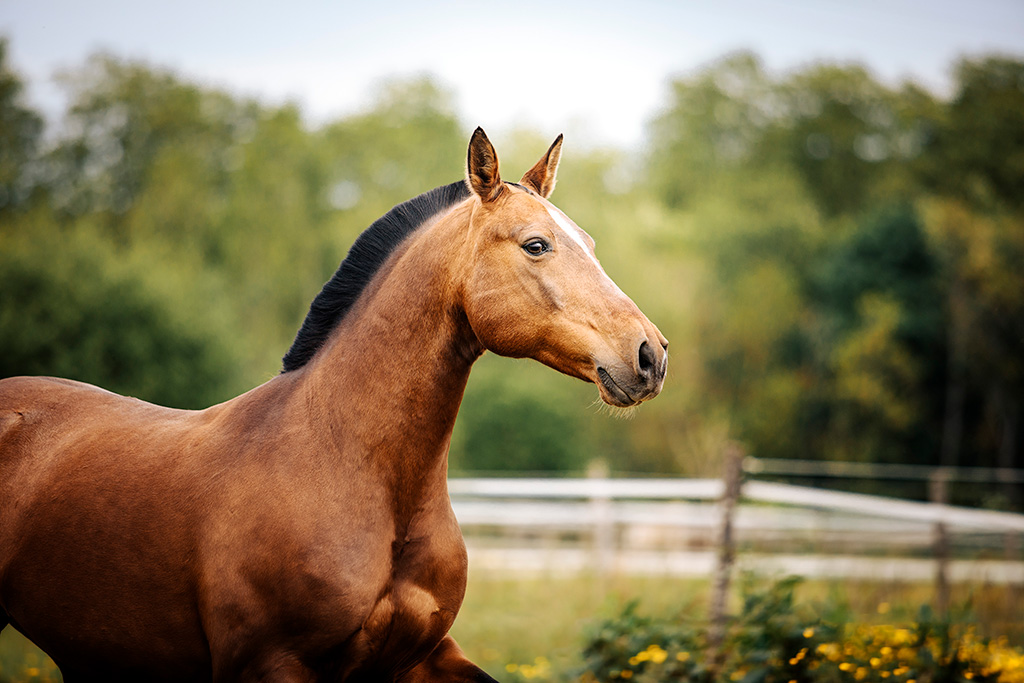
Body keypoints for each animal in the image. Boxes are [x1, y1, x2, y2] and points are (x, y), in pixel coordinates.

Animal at [0, 129, 667, 683]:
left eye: (590, 242)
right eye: (536, 244)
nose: (649, 354)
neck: (349, 467)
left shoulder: (424, 659)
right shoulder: (271, 665)